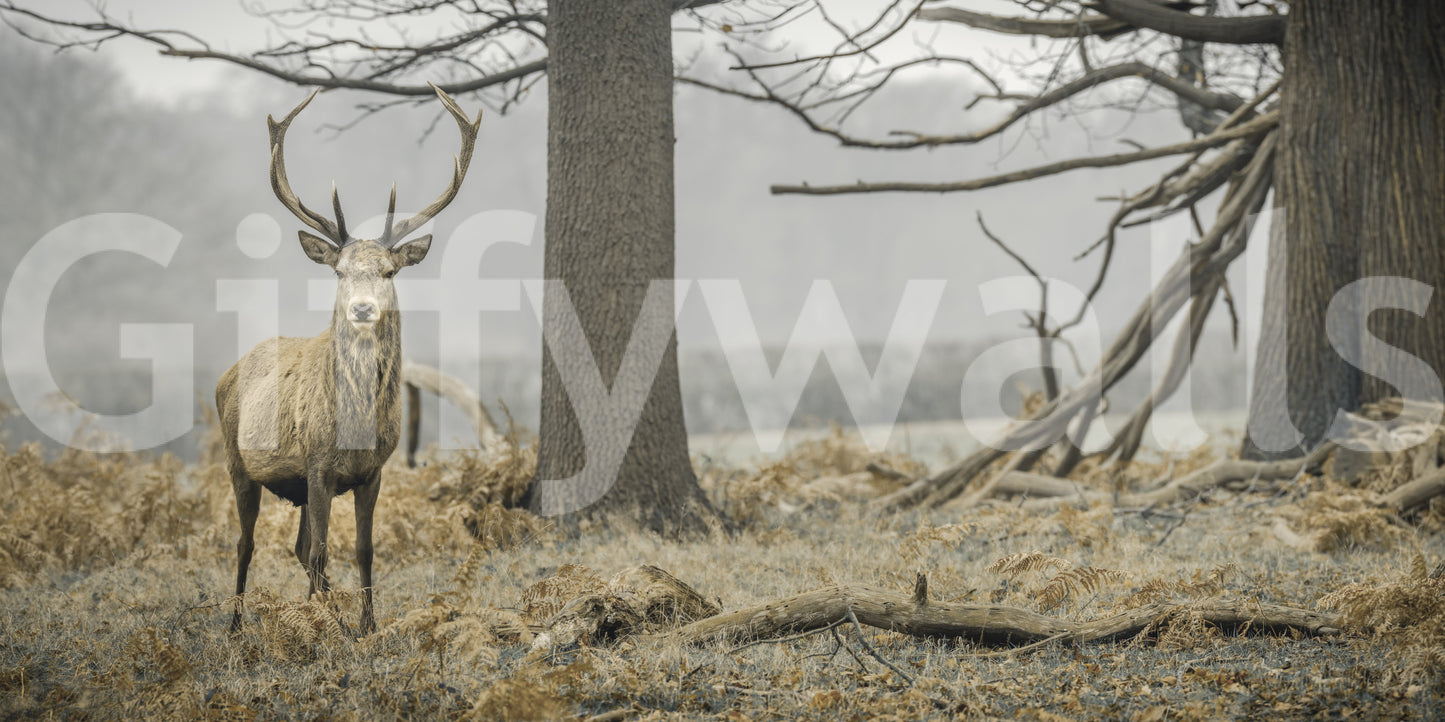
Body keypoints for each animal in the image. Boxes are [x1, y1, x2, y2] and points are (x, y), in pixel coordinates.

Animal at [218, 84, 480, 635]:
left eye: (389, 271)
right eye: (339, 271)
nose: (361, 307)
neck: (355, 426)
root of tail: (227, 373)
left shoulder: (372, 470)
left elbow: (362, 549)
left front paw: (365, 626)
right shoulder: (318, 463)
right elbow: (322, 551)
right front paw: (324, 630)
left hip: (294, 483)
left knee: (298, 547)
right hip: (237, 460)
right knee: (247, 543)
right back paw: (234, 625)